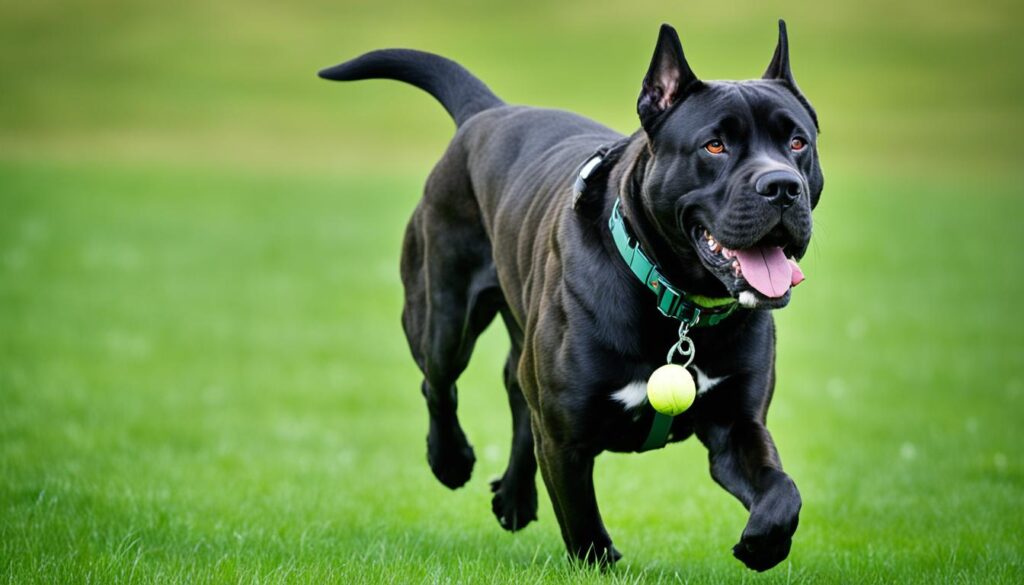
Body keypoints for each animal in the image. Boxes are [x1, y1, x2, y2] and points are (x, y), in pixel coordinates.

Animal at [319, 19, 823, 573]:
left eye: (797, 142)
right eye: (714, 146)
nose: (782, 186)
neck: (677, 301)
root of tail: (487, 111)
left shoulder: (737, 425)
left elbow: (782, 489)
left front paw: (764, 542)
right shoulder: (566, 436)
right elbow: (580, 515)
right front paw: (599, 558)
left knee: (514, 389)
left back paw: (515, 497)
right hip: (441, 312)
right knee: (440, 382)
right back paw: (450, 460)